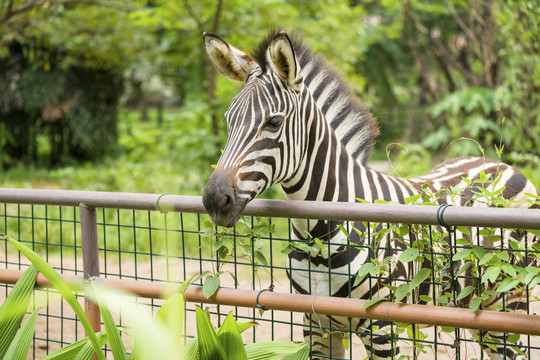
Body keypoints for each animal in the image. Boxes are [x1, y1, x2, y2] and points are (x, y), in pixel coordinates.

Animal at [200, 29, 536, 358]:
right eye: (229, 120)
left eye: (273, 122)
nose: (214, 200)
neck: (318, 238)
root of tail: (500, 164)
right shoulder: (316, 324)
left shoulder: (382, 330)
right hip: (477, 309)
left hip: (508, 303)